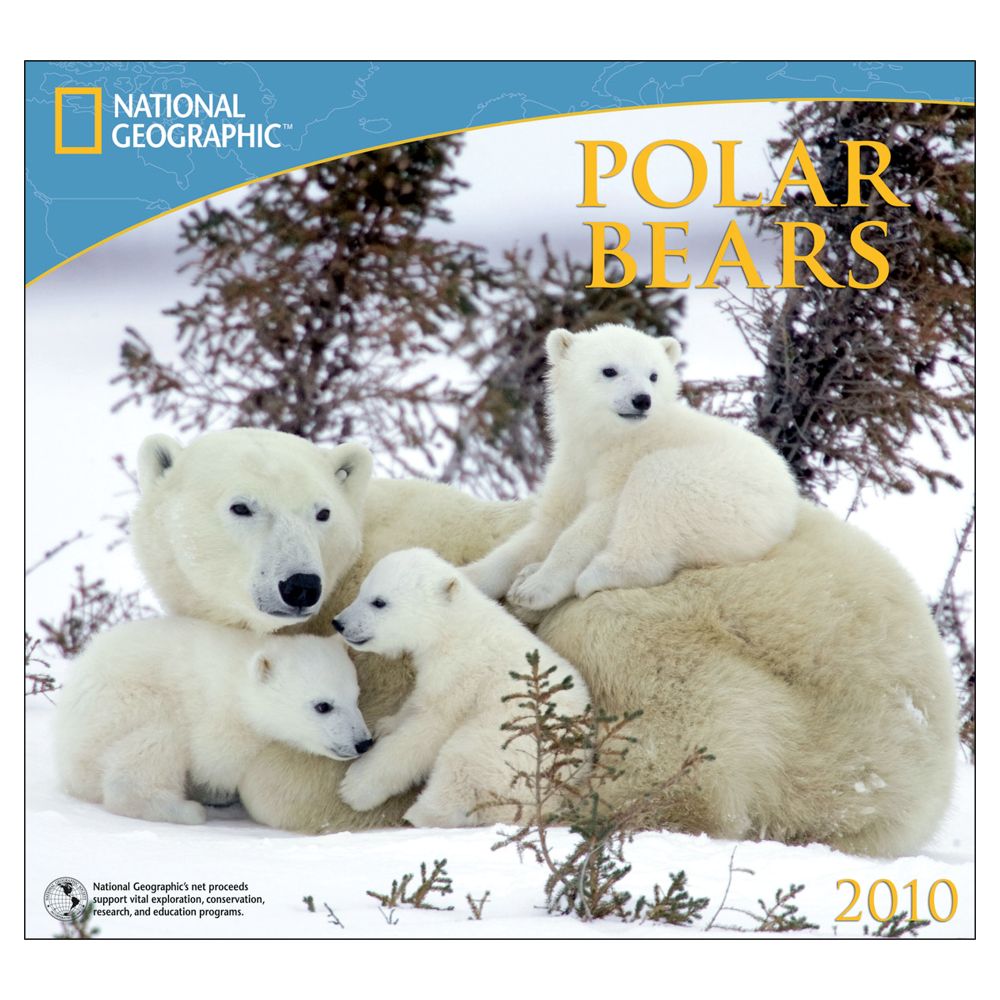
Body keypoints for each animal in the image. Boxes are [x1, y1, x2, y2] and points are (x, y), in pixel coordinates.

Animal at [55, 617, 371, 825]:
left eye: (356, 696)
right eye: (323, 706)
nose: (363, 742)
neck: (239, 682)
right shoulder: (217, 719)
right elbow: (218, 761)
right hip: (120, 709)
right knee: (154, 743)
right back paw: (186, 810)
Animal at [333, 548, 591, 827]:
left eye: (379, 602)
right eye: (361, 591)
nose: (339, 623)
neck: (454, 628)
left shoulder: (463, 674)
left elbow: (428, 730)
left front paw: (355, 786)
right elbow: (420, 699)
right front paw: (387, 724)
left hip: (507, 744)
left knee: (461, 768)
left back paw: (417, 816)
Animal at [463, 324, 799, 611]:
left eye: (653, 375)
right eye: (609, 370)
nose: (642, 400)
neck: (611, 440)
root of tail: (788, 511)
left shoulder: (626, 462)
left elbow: (591, 523)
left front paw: (536, 589)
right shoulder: (572, 464)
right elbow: (544, 528)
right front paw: (473, 575)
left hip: (728, 500)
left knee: (656, 489)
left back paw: (596, 575)